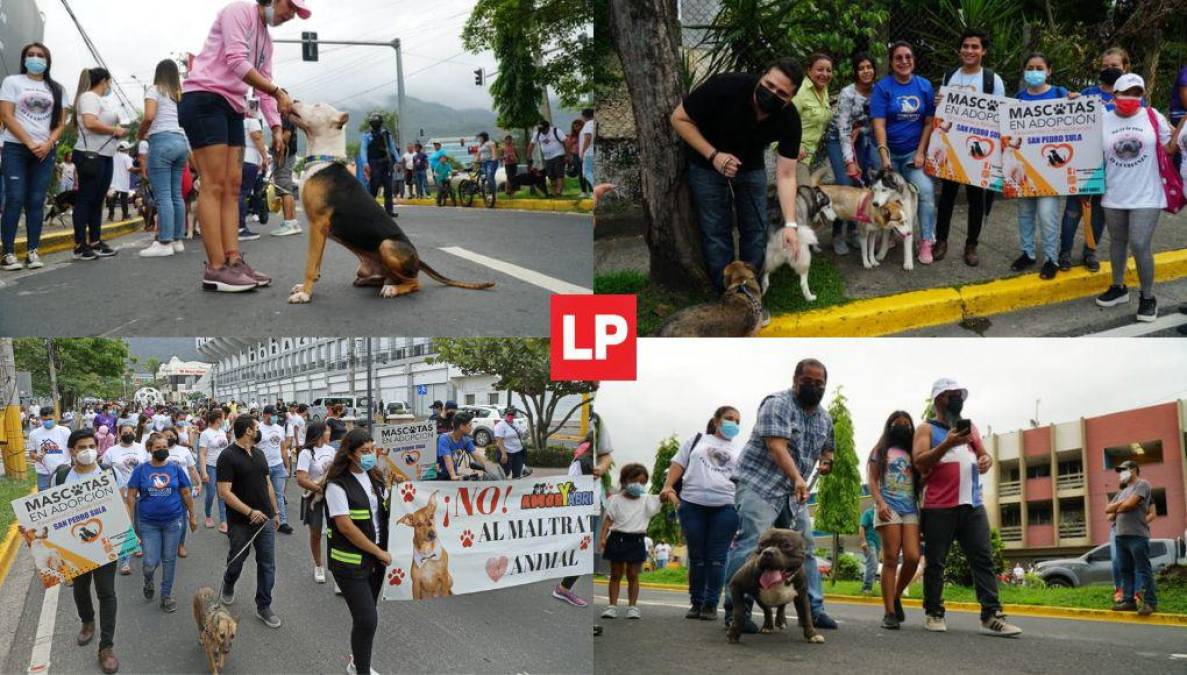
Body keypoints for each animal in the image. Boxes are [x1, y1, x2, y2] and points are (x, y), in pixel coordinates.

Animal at [284, 102, 493, 302]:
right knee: (384, 278)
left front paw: (305, 294)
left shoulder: (318, 224)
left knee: (414, 282)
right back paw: (383, 282)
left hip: (387, 245)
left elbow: (310, 264)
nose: (294, 100)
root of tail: (418, 259)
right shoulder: (319, 229)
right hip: (367, 269)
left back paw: (392, 289)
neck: (324, 160)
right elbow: (316, 262)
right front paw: (304, 288)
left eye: (317, 106)